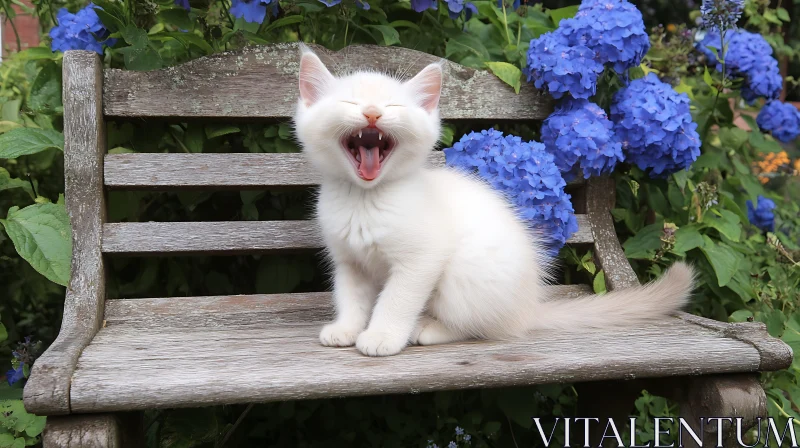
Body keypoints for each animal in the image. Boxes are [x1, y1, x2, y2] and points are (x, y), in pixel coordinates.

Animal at [294, 49, 692, 356]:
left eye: (392, 105)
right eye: (350, 102)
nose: (373, 113)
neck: (366, 199)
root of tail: (526, 308)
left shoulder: (421, 260)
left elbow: (396, 299)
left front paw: (381, 336)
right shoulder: (349, 261)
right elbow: (351, 296)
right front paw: (346, 328)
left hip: (467, 274)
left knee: (480, 325)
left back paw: (428, 328)